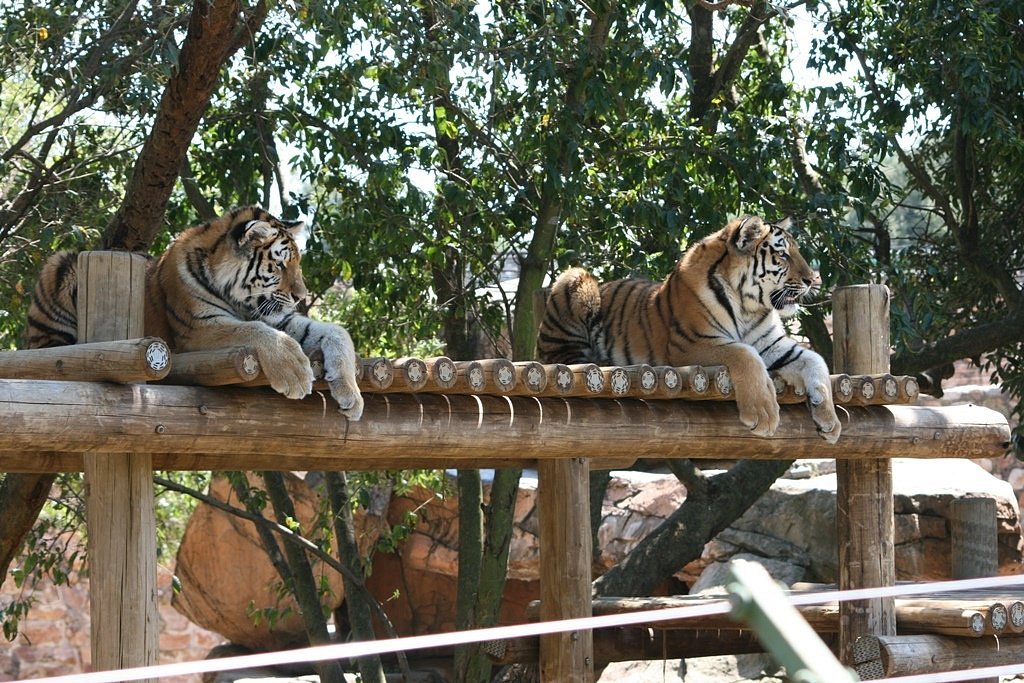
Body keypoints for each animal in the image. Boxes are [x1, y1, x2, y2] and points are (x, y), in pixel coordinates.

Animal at [24, 202, 364, 421]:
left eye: (297, 263)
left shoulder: (282, 316)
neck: (241, 298)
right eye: (280, 264)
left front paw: (352, 394)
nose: (300, 296)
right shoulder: (199, 327)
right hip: (60, 265)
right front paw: (295, 372)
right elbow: (254, 330)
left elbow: (337, 332)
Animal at [536, 216, 839, 446]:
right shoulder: (691, 343)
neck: (749, 306)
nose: (813, 280)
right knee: (561, 356)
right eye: (783, 254)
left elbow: (816, 361)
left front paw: (830, 420)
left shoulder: (774, 345)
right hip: (575, 278)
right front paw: (763, 414)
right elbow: (744, 353)